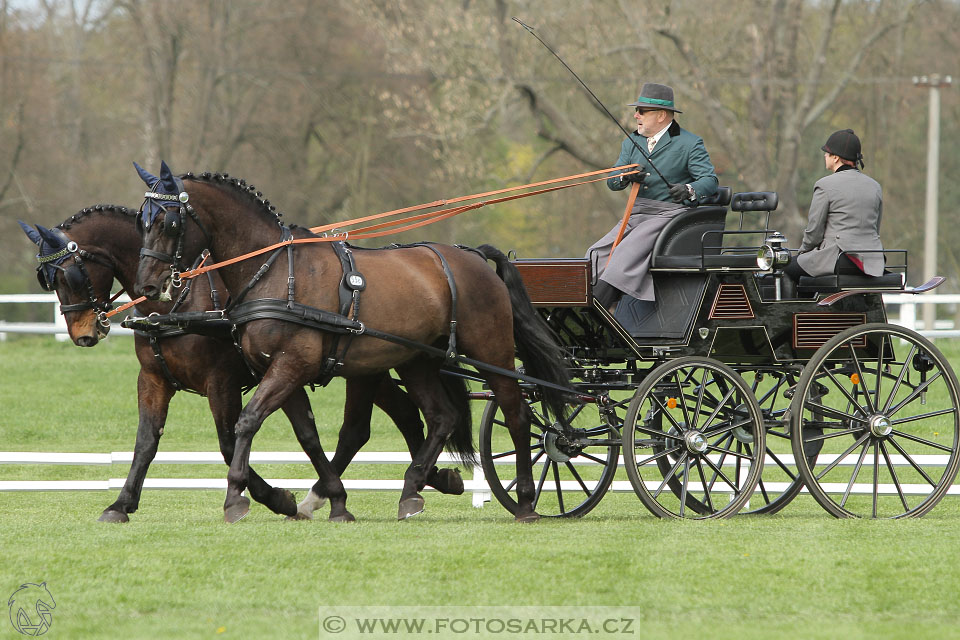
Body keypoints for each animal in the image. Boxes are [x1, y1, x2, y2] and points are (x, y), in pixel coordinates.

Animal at [18, 202, 462, 524]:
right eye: (48, 280)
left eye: (69, 276)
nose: (83, 334)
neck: (178, 301)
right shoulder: (154, 379)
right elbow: (146, 442)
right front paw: (121, 504)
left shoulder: (222, 381)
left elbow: (228, 441)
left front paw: (271, 498)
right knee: (408, 416)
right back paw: (433, 479)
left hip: (361, 368)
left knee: (361, 429)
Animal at [134, 162, 568, 524]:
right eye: (142, 221)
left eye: (168, 222)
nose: (147, 286)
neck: (274, 272)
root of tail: (474, 254)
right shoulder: (281, 370)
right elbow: (306, 435)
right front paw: (329, 500)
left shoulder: (291, 364)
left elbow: (247, 422)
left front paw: (236, 496)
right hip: (416, 361)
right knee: (441, 416)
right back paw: (412, 490)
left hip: (491, 352)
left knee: (517, 415)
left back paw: (525, 501)